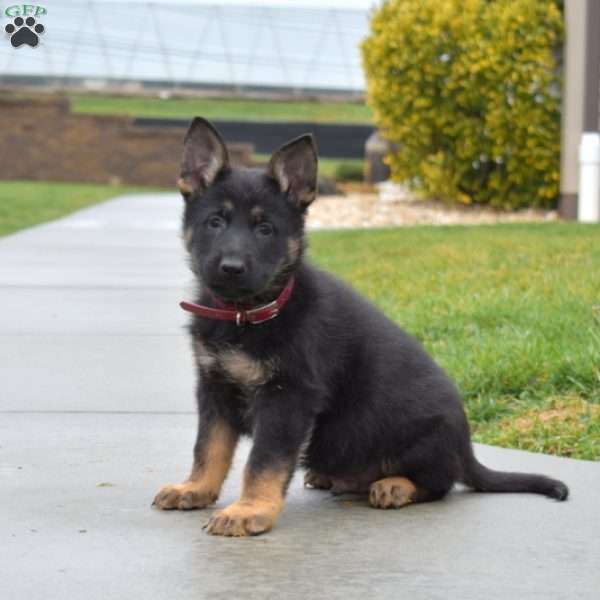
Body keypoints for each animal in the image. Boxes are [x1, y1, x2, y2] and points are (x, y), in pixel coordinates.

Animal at [152, 118, 568, 540]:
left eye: (265, 229)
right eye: (215, 222)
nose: (231, 268)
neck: (248, 314)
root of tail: (466, 449)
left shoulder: (288, 397)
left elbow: (263, 461)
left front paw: (250, 510)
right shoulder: (215, 387)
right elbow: (208, 448)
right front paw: (195, 488)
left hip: (420, 435)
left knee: (440, 484)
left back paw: (395, 485)